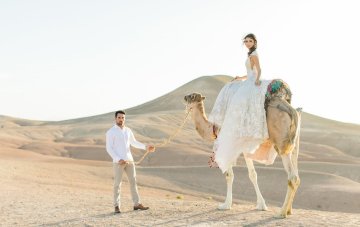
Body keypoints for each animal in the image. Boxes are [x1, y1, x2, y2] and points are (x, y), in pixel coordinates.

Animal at [184, 80, 302, 218]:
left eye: (192, 96)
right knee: (297, 174)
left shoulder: (229, 145)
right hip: (293, 143)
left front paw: (225, 205)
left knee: (292, 177)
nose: (184, 97)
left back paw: (281, 213)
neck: (212, 127)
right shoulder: (245, 147)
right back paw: (289, 211)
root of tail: (292, 109)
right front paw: (261, 205)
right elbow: (253, 174)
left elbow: (230, 174)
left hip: (281, 143)